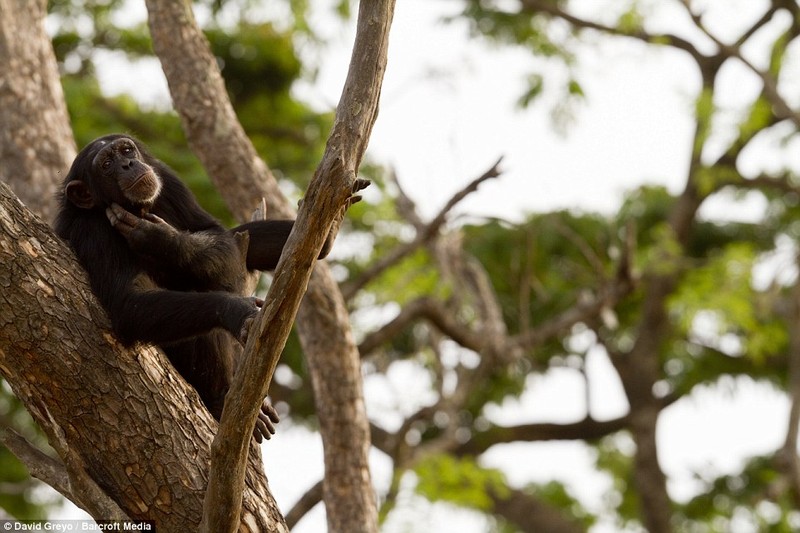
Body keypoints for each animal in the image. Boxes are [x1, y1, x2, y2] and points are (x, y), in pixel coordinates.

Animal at [54, 133, 368, 440]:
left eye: (126, 150)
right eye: (106, 164)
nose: (127, 164)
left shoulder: (169, 181)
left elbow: (215, 234)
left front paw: (160, 239)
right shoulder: (91, 231)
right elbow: (127, 303)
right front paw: (236, 310)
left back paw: (328, 229)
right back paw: (223, 401)